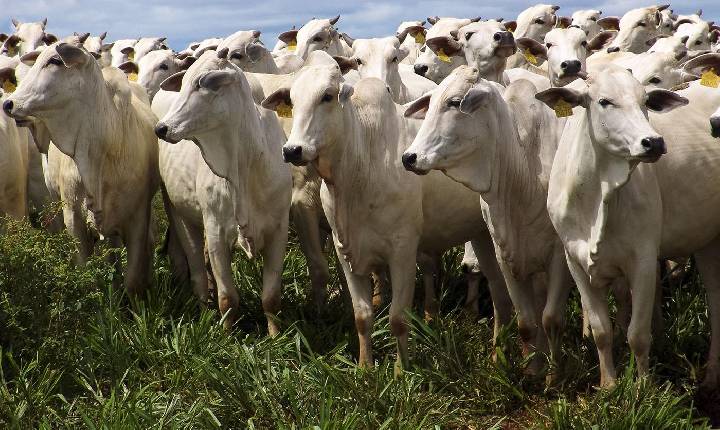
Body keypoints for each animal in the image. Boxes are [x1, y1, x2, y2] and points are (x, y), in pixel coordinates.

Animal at [4, 42, 160, 292]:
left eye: (54, 61)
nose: (9, 103)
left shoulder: (138, 216)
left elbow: (133, 279)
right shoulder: (73, 215)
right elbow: (84, 268)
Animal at [155, 49, 292, 332]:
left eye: (201, 83)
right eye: (184, 83)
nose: (162, 128)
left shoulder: (278, 230)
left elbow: (271, 298)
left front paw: (276, 335)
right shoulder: (216, 230)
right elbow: (228, 298)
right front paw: (227, 336)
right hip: (179, 214)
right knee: (197, 273)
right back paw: (204, 311)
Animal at [264, 52, 512, 370]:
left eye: (327, 96)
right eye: (292, 101)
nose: (292, 150)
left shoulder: (402, 252)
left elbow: (397, 319)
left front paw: (400, 371)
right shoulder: (345, 252)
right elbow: (362, 316)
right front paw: (364, 366)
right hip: (481, 234)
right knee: (499, 293)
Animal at [536, 64, 720, 390]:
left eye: (645, 101)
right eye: (604, 101)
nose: (654, 142)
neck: (597, 197)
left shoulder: (644, 261)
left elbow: (638, 335)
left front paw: (643, 388)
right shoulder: (575, 261)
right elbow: (601, 331)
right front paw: (608, 385)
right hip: (707, 239)